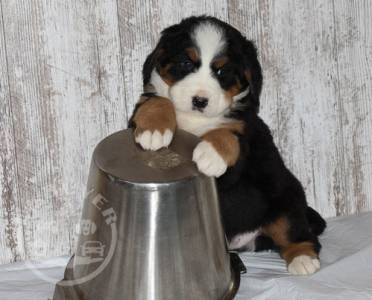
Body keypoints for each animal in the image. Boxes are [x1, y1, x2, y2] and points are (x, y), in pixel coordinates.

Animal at [128, 15, 326, 274]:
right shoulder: (138, 114)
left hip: (285, 200)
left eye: (222, 70)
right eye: (186, 63)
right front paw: (154, 130)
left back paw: (303, 259)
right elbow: (156, 101)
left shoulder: (243, 140)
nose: (200, 100)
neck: (195, 120)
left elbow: (227, 134)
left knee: (298, 233)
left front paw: (210, 156)